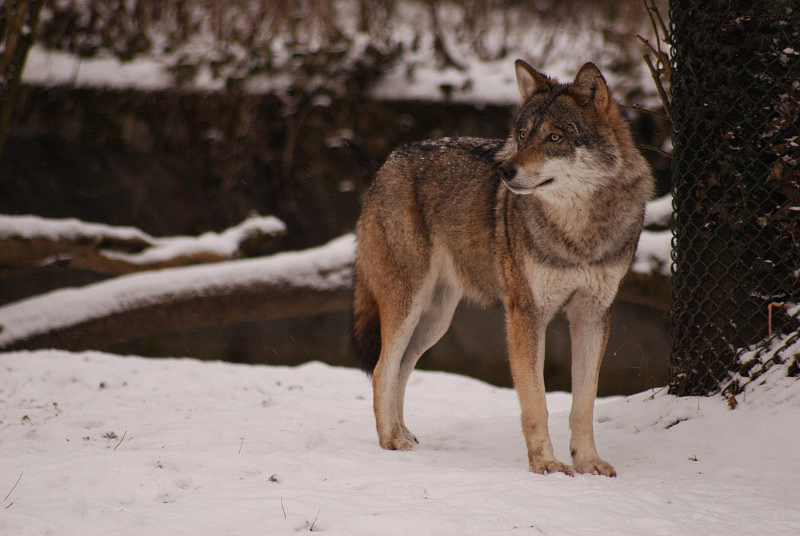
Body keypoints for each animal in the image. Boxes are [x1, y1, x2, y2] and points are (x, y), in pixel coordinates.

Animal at [352, 60, 654, 477]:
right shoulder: (526, 314)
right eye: (523, 135)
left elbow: (584, 404)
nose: (504, 172)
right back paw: (390, 442)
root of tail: (389, 162)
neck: (578, 232)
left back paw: (403, 435)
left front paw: (588, 463)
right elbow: (536, 403)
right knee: (382, 368)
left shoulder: (592, 314)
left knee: (399, 369)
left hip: (434, 321)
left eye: (554, 137)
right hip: (408, 306)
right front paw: (546, 464)